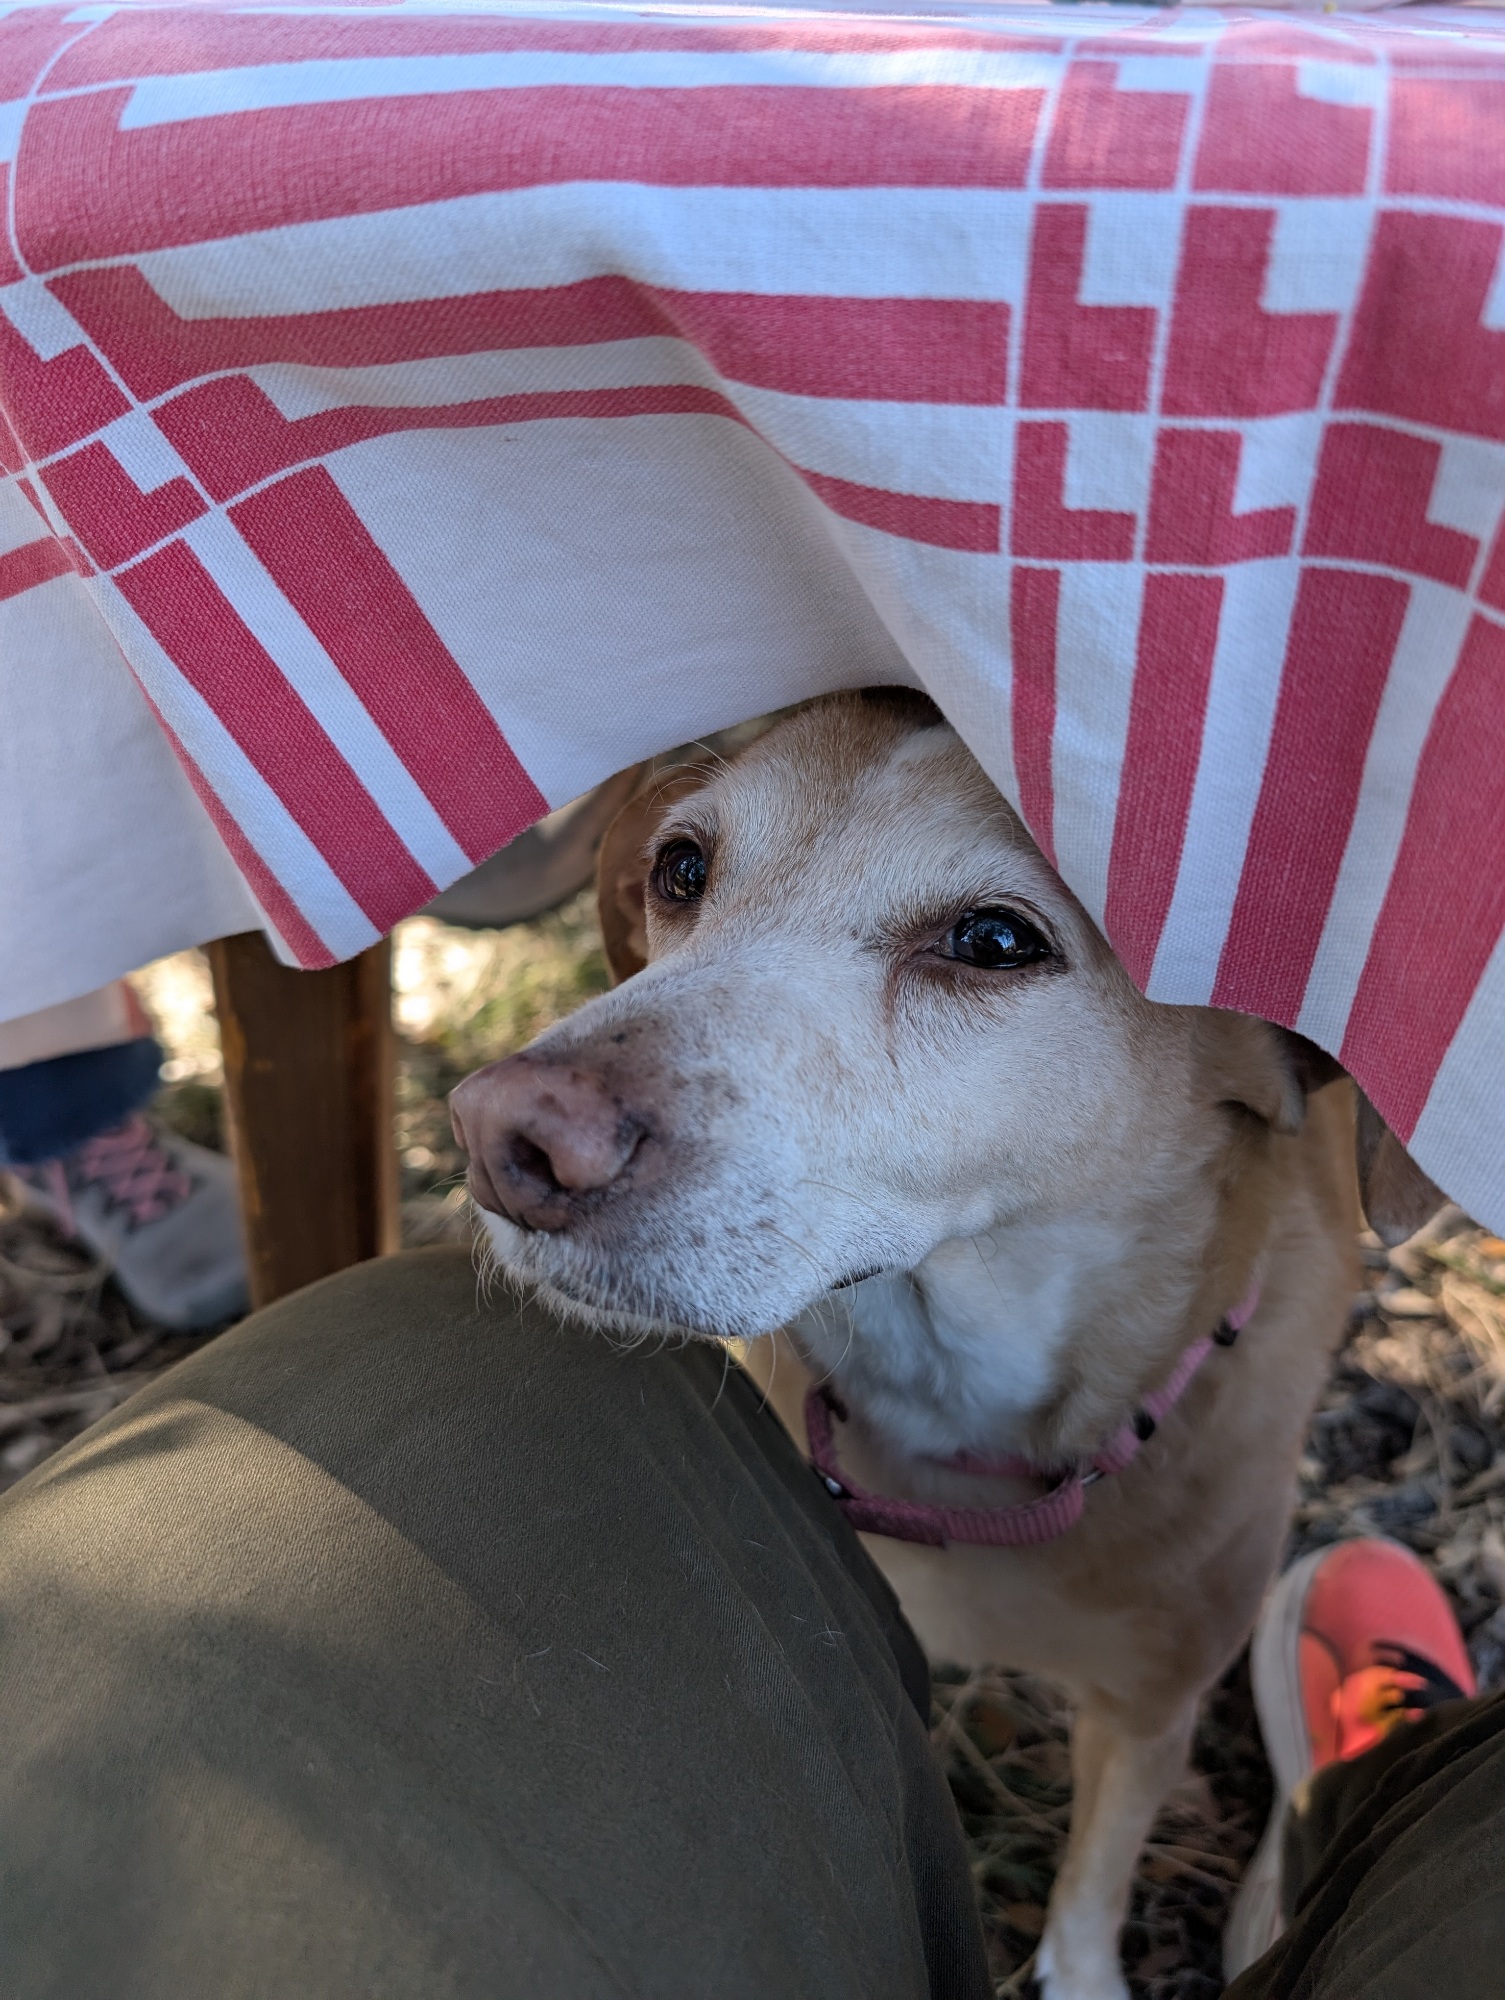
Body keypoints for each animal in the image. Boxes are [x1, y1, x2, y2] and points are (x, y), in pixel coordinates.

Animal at [451, 690, 1440, 2000]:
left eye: (995, 938)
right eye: (681, 868)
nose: (500, 1135)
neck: (957, 1423)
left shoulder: (1151, 1707)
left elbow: (1090, 1886)